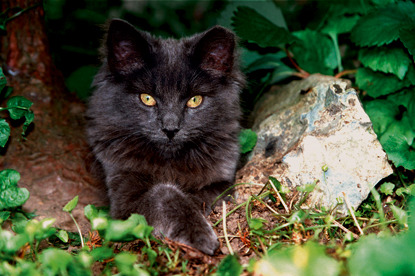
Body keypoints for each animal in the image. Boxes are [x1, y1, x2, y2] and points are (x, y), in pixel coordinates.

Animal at [87, 18, 244, 253]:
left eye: (195, 100)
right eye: (147, 98)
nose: (170, 129)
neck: (170, 163)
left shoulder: (224, 180)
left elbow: (204, 195)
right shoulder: (122, 199)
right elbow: (164, 192)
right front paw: (198, 233)